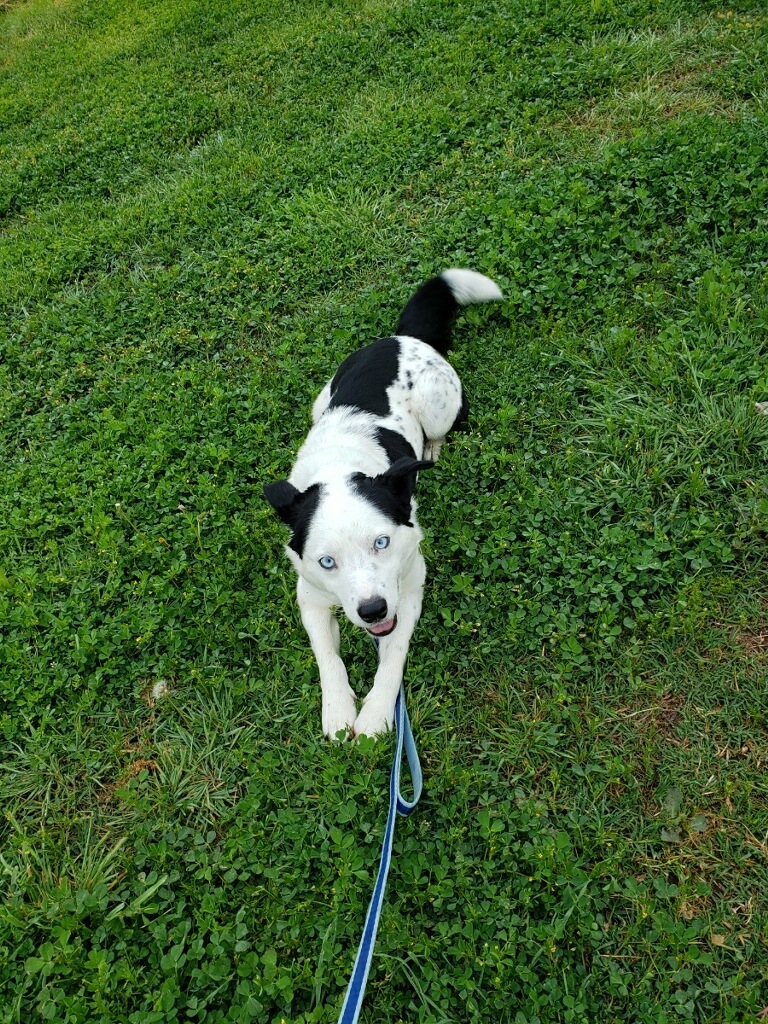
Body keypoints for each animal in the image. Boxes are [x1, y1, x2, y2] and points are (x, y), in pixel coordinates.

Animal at [264, 268, 505, 741]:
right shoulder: (310, 597)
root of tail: (401, 337)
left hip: (439, 406)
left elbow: (393, 658)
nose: (372, 610)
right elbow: (328, 658)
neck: (340, 466)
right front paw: (338, 711)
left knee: (442, 429)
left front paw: (375, 716)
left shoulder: (410, 587)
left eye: (381, 543)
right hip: (321, 399)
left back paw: (430, 449)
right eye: (326, 562)